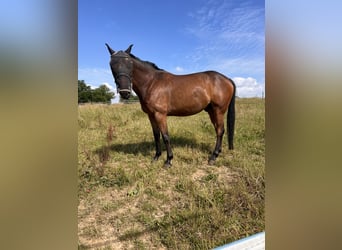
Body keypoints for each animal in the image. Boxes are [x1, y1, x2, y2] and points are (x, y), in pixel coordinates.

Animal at [105, 44, 236, 167]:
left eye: (130, 64)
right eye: (112, 65)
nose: (124, 92)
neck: (151, 82)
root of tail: (227, 79)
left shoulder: (160, 115)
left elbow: (165, 136)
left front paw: (169, 160)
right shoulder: (151, 115)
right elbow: (156, 135)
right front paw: (156, 157)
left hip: (219, 110)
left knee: (220, 130)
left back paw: (213, 157)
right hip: (211, 111)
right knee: (218, 130)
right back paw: (217, 153)